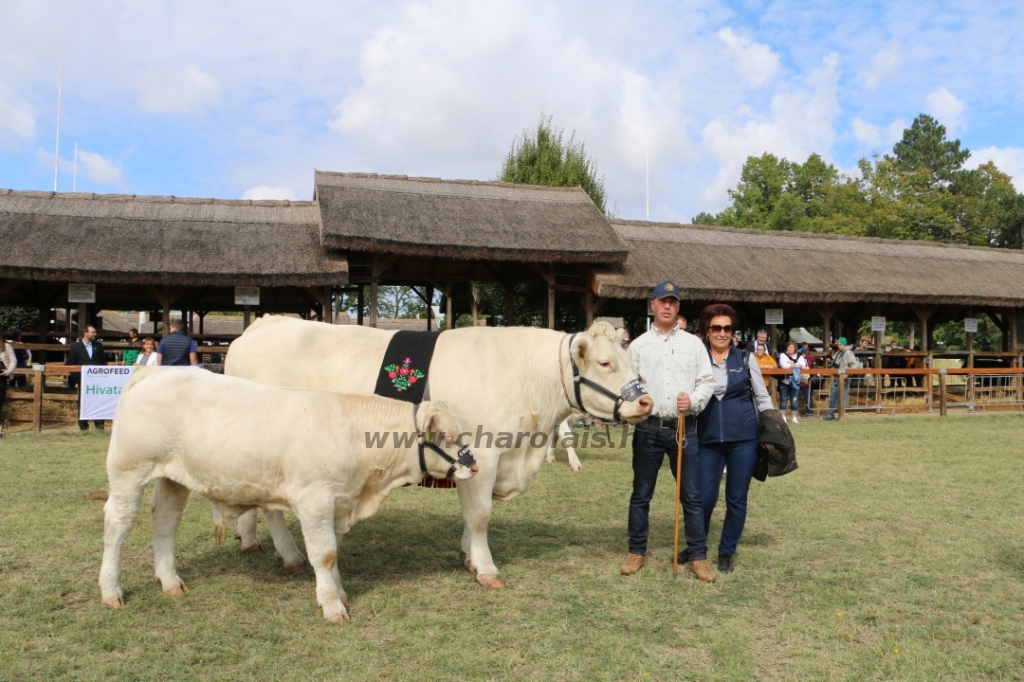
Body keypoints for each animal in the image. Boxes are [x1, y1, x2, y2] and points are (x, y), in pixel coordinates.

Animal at [97, 366, 477, 622]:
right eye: (447, 436)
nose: (473, 467)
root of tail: (156, 371)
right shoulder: (315, 500)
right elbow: (324, 554)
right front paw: (332, 606)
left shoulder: (337, 502)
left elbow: (333, 553)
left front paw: (338, 593)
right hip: (129, 470)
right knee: (118, 525)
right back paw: (111, 590)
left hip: (173, 477)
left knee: (165, 522)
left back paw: (170, 581)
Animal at [227, 315, 651, 585]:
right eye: (605, 362)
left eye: (630, 360)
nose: (646, 402)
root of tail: (265, 323)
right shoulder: (483, 452)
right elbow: (480, 515)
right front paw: (486, 569)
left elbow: (472, 515)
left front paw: (468, 556)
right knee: (271, 509)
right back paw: (291, 555)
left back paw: (249, 541)